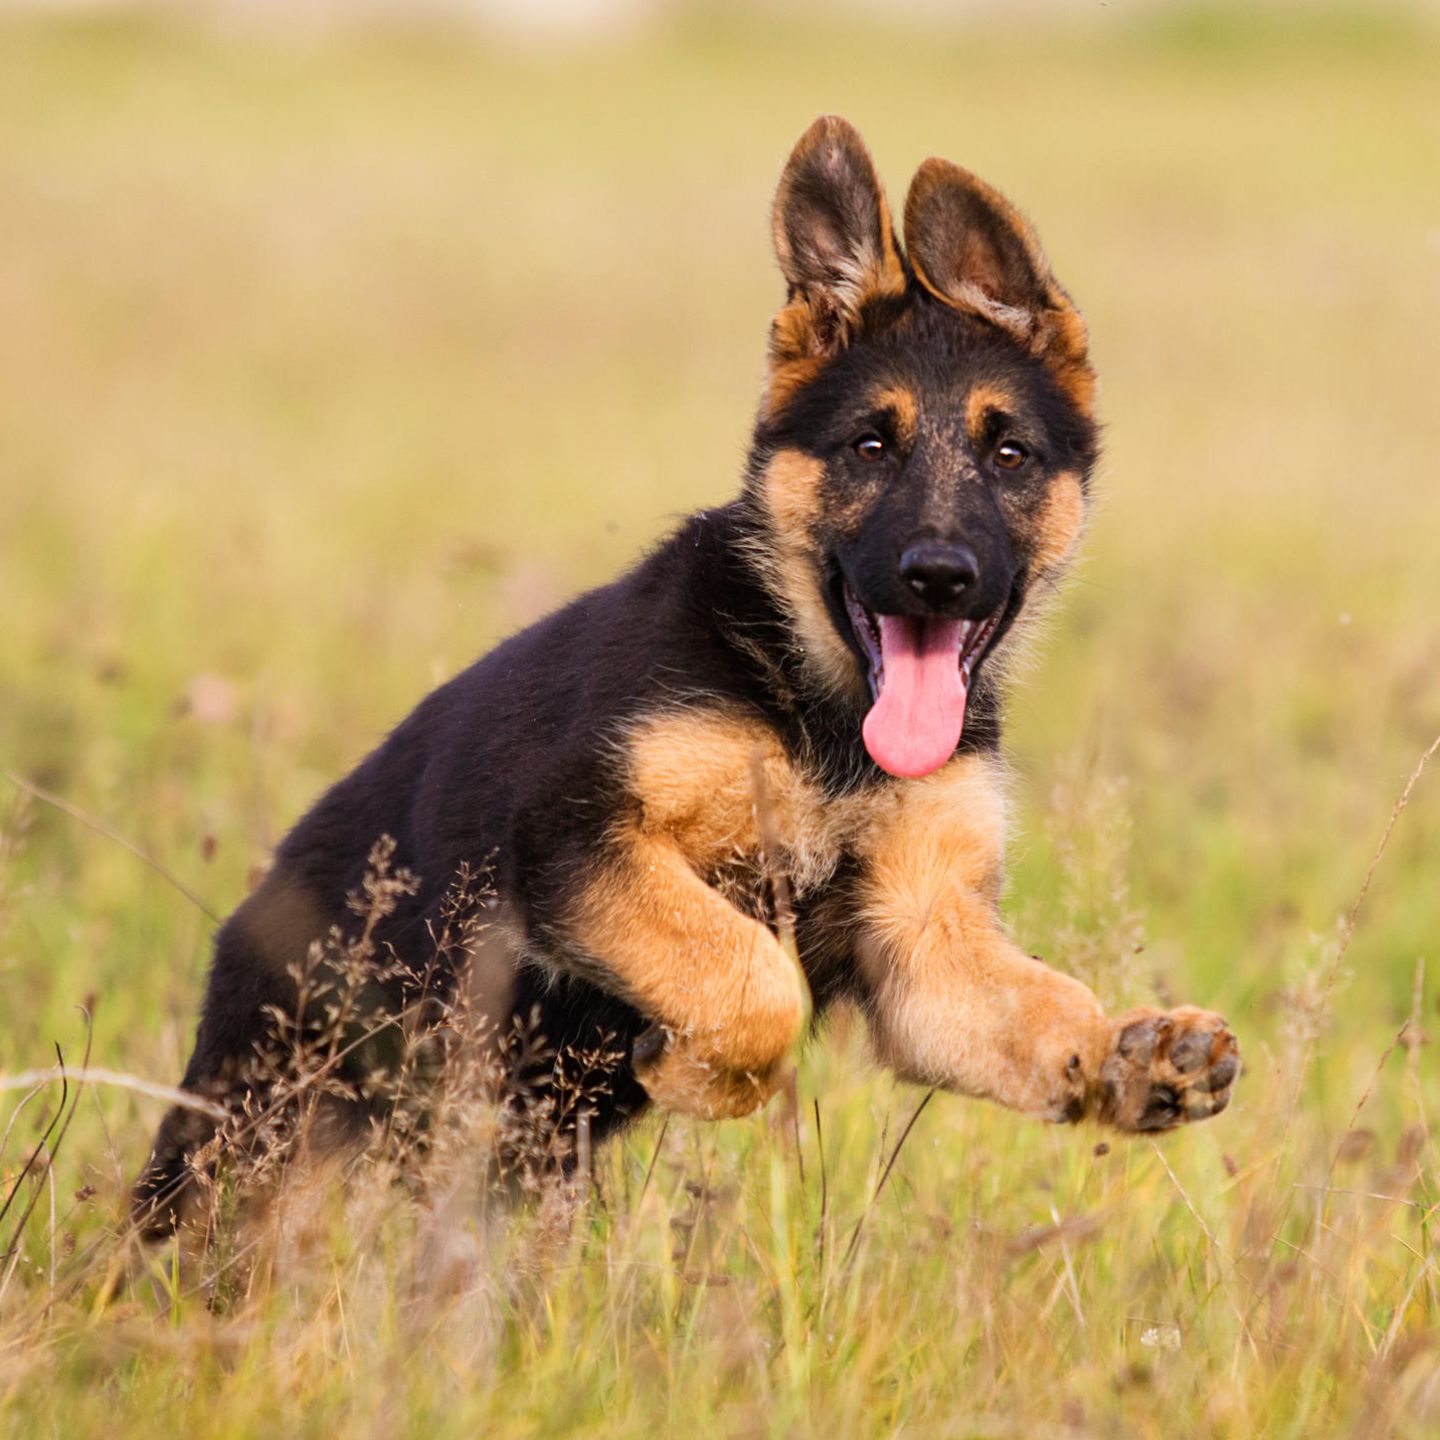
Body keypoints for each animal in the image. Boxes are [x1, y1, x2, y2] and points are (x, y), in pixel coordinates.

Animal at [137, 118, 1238, 1232]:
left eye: (1009, 454)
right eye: (869, 445)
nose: (938, 575)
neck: (820, 714)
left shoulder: (923, 947)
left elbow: (1040, 1004)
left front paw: (1132, 1056)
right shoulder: (572, 839)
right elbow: (755, 981)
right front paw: (699, 1075)